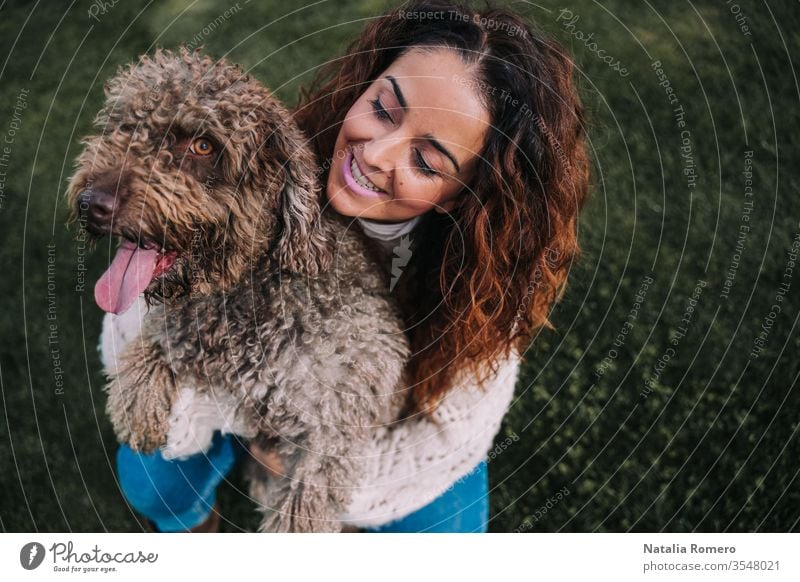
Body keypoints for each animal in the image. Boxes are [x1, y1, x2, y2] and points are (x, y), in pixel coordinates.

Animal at [65, 49, 410, 532]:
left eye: (203, 146)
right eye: (124, 126)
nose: (91, 203)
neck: (245, 289)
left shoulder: (335, 424)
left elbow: (302, 513)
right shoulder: (181, 323)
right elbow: (157, 336)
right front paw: (136, 403)